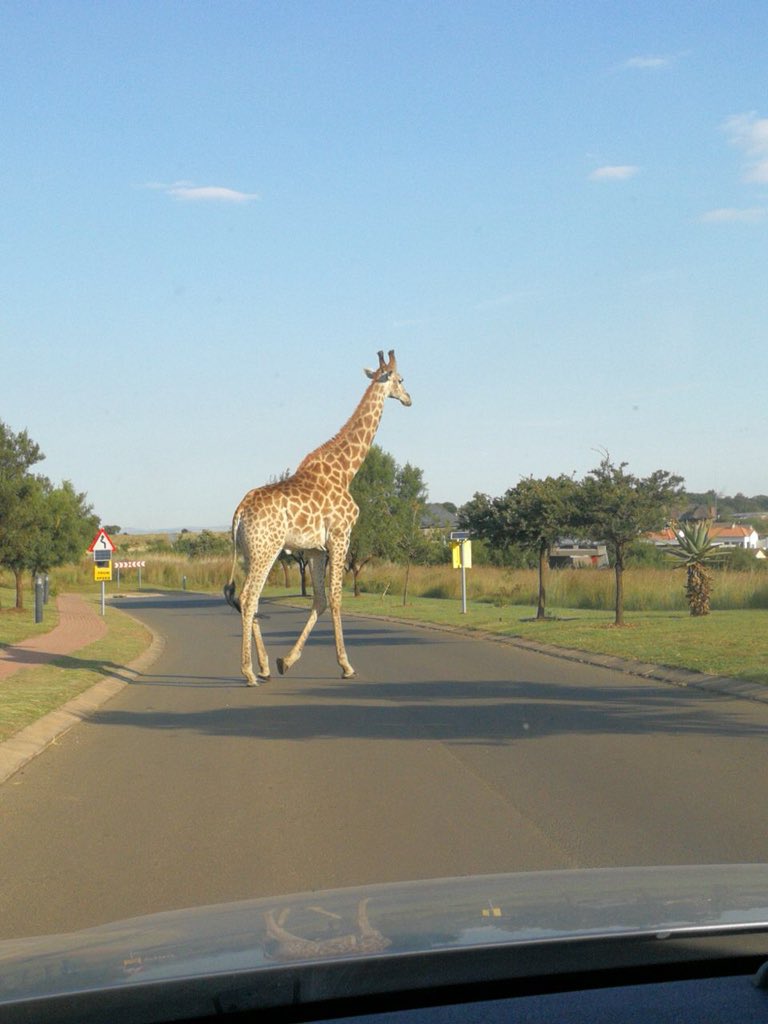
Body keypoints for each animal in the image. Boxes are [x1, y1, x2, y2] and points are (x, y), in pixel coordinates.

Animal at [224, 350, 412, 686]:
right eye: (401, 380)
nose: (409, 399)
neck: (346, 470)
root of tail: (239, 511)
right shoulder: (341, 536)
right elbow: (336, 598)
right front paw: (346, 666)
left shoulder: (313, 549)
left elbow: (320, 600)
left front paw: (286, 661)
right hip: (266, 550)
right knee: (248, 597)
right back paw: (248, 672)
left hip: (248, 552)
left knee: (248, 599)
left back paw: (265, 667)